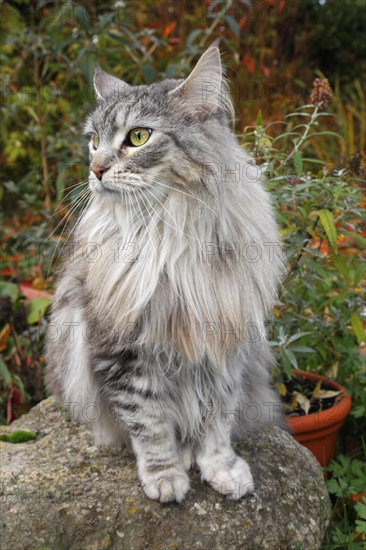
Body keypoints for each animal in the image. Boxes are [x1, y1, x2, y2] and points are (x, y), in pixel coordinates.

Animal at [45, 46, 284, 504]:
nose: (95, 169)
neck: (172, 235)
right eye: (94, 141)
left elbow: (217, 422)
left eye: (138, 137)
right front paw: (165, 476)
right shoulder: (122, 349)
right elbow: (149, 422)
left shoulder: (222, 340)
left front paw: (221, 470)